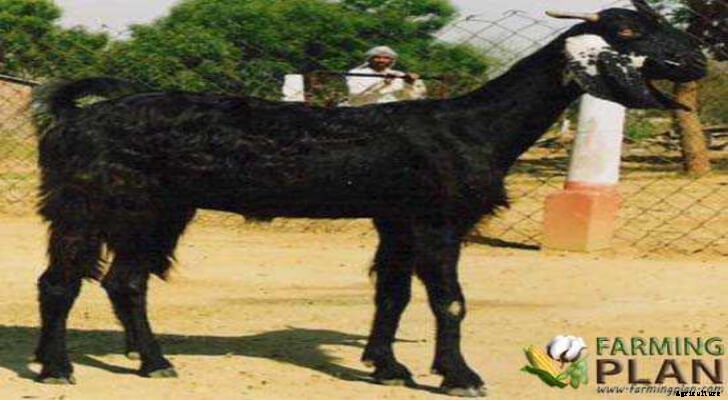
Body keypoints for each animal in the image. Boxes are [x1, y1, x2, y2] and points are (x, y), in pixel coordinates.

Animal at [31, 1, 705, 396]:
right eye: (627, 29)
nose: (696, 59)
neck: (472, 125)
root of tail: (75, 117)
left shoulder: (397, 216)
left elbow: (394, 294)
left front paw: (387, 366)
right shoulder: (436, 217)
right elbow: (449, 300)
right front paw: (459, 376)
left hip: (158, 207)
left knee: (125, 280)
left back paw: (153, 361)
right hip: (89, 198)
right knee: (59, 281)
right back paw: (57, 366)